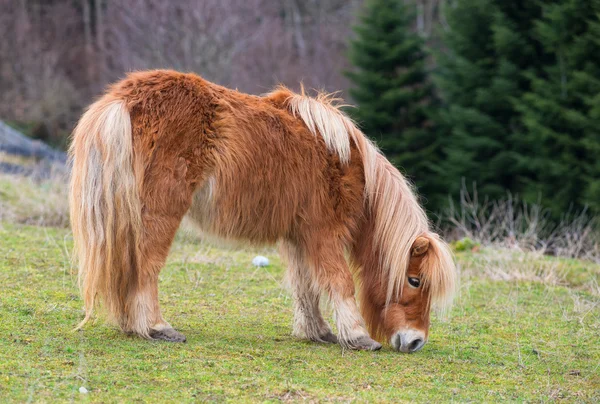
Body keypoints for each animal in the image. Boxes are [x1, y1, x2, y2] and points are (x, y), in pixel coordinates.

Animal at [70, 70, 454, 354]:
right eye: (415, 280)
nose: (416, 341)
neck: (346, 161)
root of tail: (122, 100)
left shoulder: (299, 237)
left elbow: (306, 285)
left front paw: (318, 332)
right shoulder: (324, 232)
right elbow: (339, 281)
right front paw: (358, 336)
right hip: (161, 214)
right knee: (146, 266)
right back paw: (156, 327)